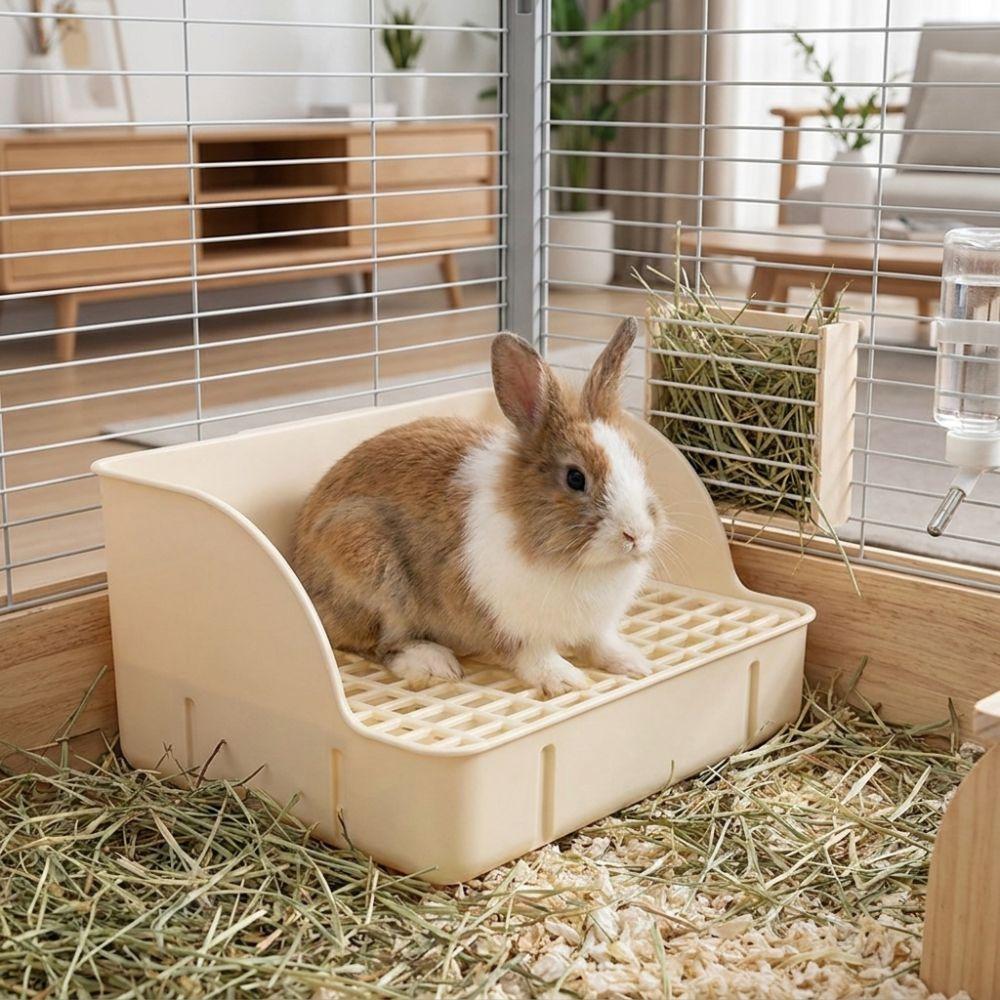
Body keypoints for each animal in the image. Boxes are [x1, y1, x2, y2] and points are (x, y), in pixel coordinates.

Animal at [290, 316, 664, 697]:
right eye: (575, 478)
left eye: (639, 463)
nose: (635, 535)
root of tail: (300, 567)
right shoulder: (504, 623)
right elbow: (533, 654)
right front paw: (565, 680)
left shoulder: (595, 626)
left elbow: (599, 642)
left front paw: (634, 663)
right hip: (369, 565)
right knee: (379, 644)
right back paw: (433, 662)